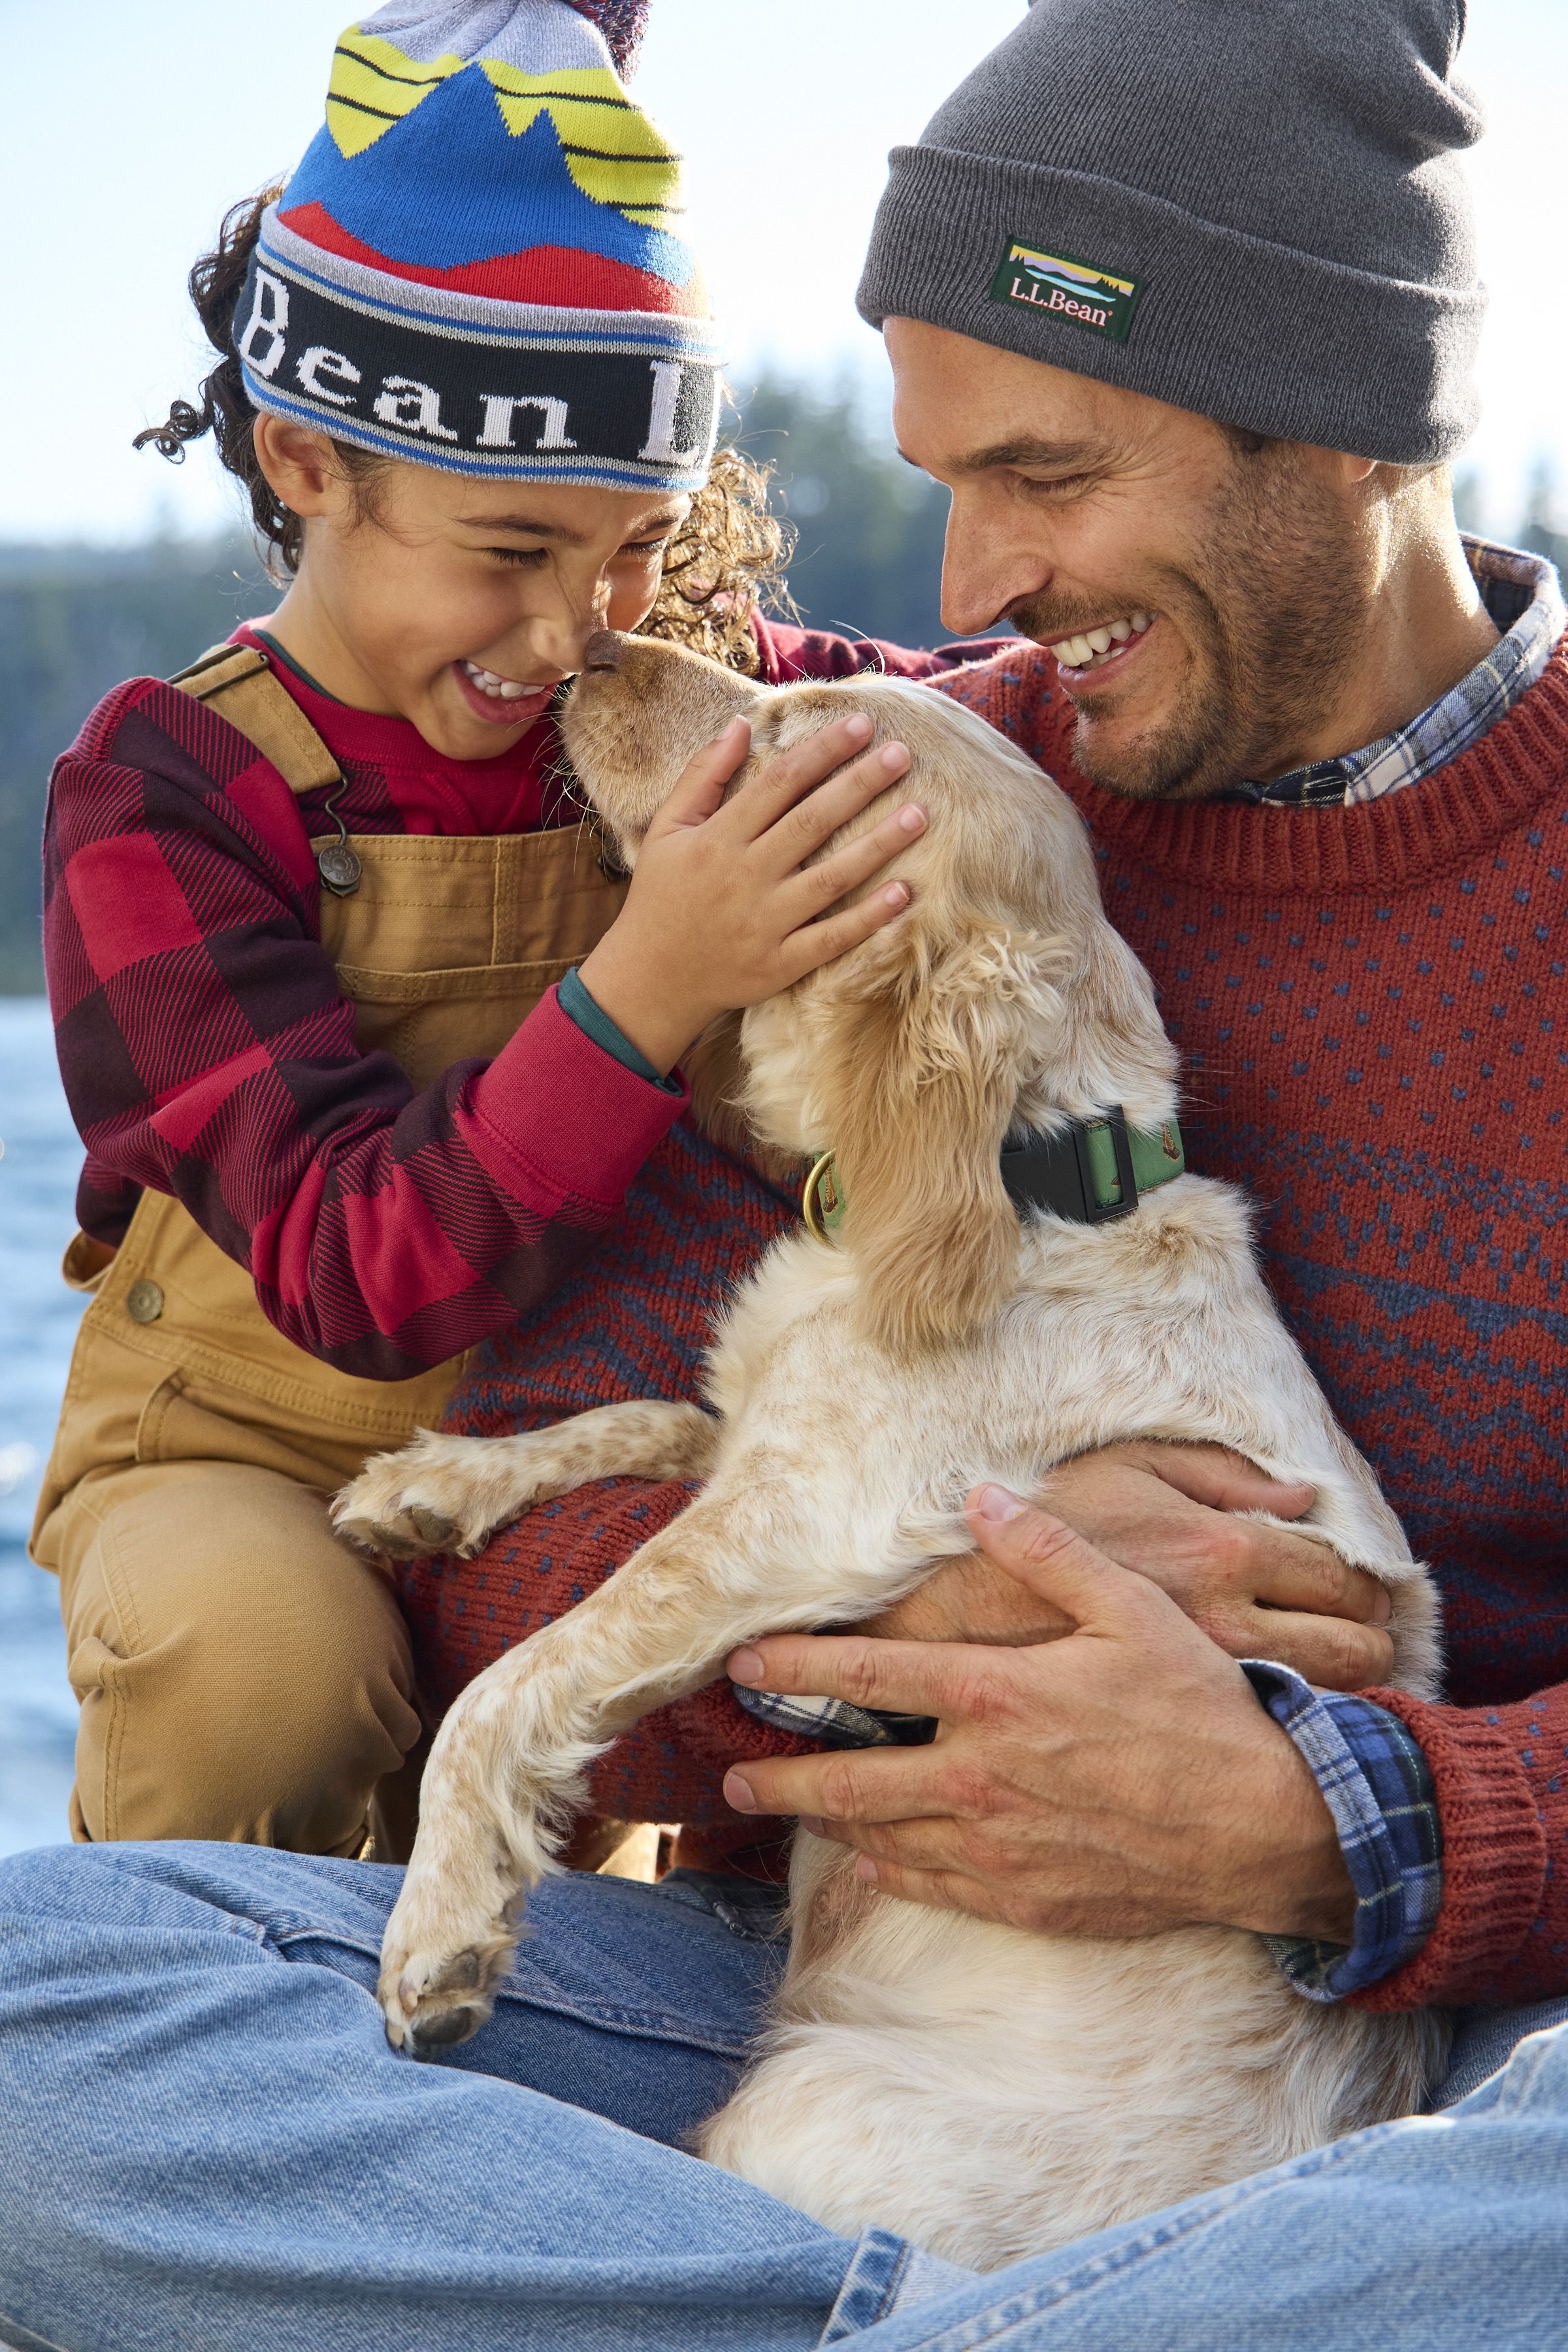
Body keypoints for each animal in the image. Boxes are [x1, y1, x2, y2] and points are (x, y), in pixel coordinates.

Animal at [338, 635, 1457, 2267]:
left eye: (801, 725)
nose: (593, 647)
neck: (1028, 1187)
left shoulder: (812, 1515)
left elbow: (518, 1677)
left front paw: (439, 1931)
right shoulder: (758, 1437)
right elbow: (637, 1418)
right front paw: (430, 1487)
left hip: (808, 2115)